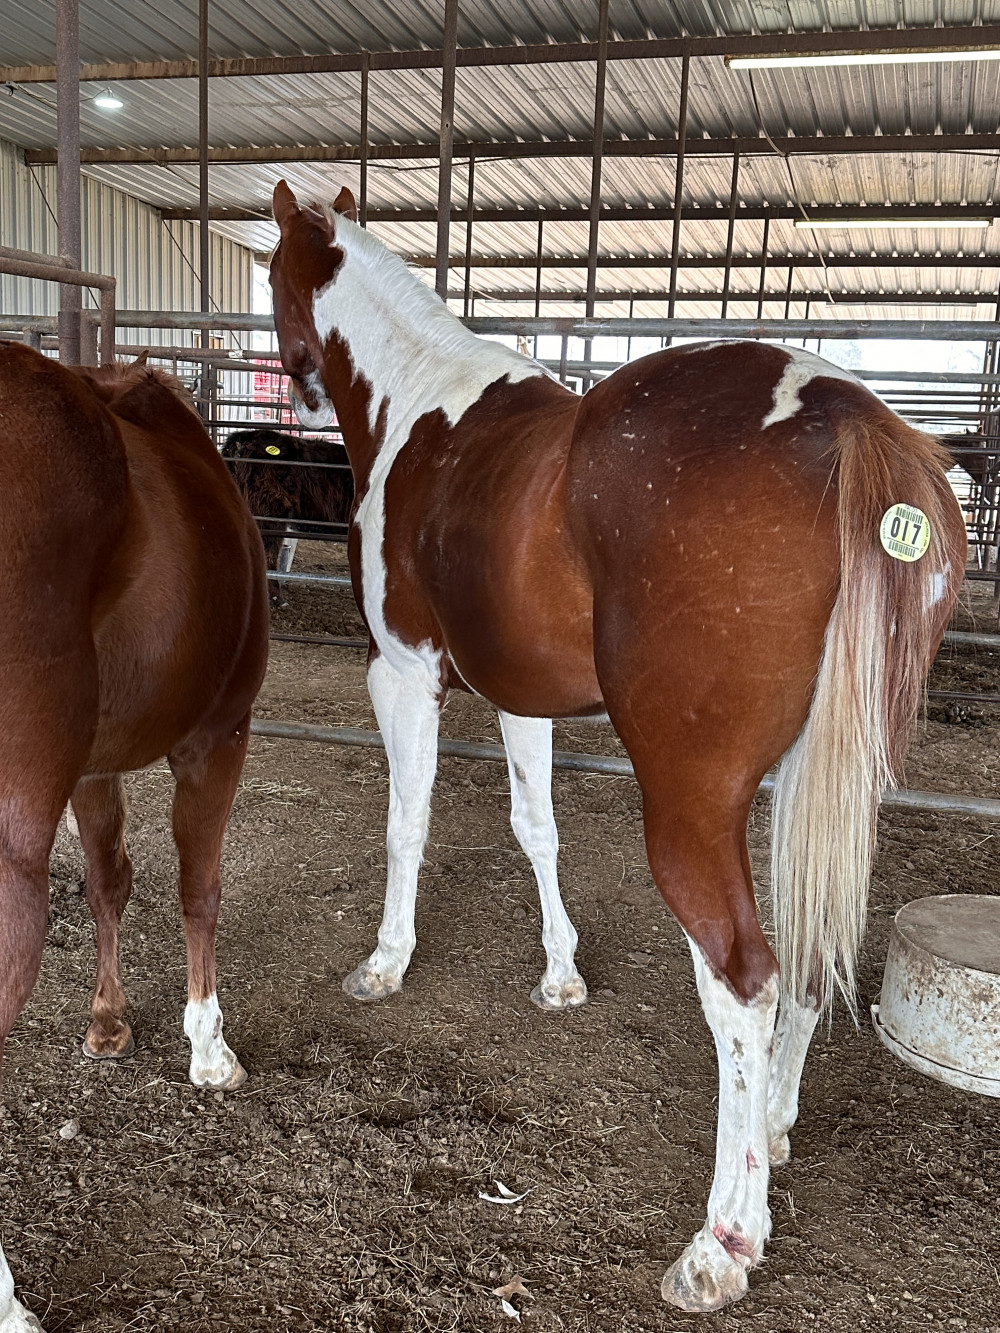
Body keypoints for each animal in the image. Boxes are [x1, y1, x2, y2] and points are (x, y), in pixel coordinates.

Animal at [0, 344, 269, 1332]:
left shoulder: (91, 765)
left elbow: (109, 878)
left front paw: (108, 1020)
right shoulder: (216, 738)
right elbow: (201, 886)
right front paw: (209, 1047)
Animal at [267, 180, 967, 1313]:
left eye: (275, 271)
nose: (293, 385)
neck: (419, 403)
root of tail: (845, 420)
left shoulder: (403, 671)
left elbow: (407, 823)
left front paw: (384, 961)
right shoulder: (524, 696)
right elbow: (534, 826)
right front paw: (560, 974)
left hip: (692, 802)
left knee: (745, 979)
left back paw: (722, 1241)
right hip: (822, 786)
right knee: (810, 955)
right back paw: (773, 1132)